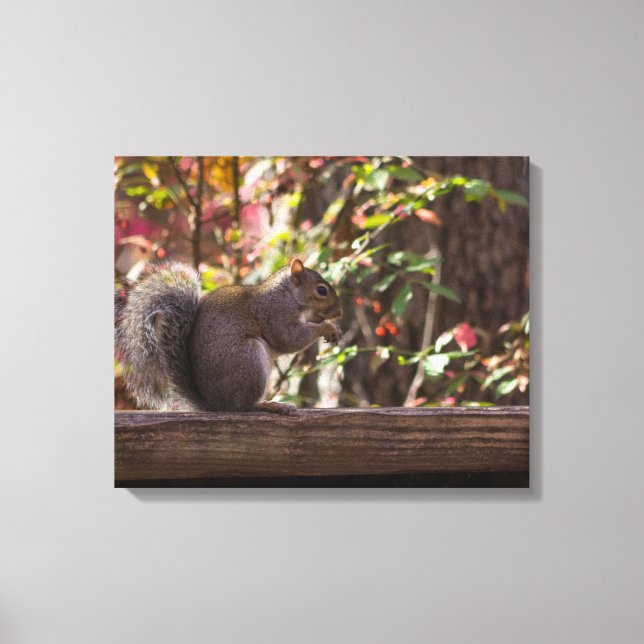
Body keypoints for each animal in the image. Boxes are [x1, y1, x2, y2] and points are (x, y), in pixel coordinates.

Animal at [115, 258, 343, 414]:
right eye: (322, 290)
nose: (339, 313)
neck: (288, 295)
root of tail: (216, 404)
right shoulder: (275, 314)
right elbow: (288, 339)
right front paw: (327, 327)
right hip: (249, 359)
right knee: (244, 406)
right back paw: (270, 405)